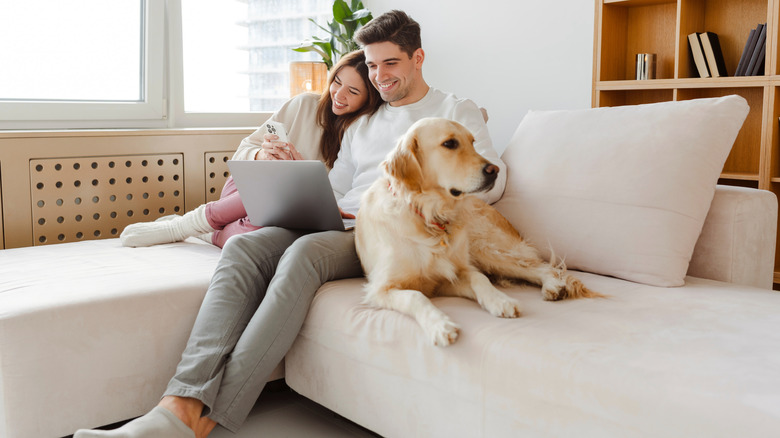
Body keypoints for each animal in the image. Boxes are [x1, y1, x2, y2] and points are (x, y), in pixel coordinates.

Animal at [356, 118, 600, 348]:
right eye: (450, 144)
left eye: (472, 142)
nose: (495, 171)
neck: (429, 216)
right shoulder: (381, 289)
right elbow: (416, 296)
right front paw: (440, 325)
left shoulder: (453, 273)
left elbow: (478, 278)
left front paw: (500, 300)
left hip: (486, 250)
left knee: (540, 267)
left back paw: (553, 286)